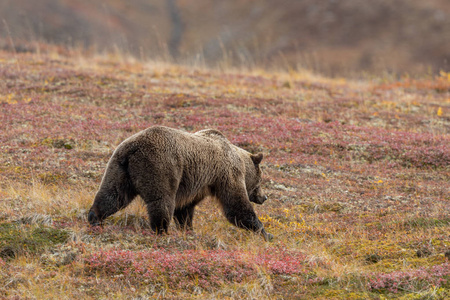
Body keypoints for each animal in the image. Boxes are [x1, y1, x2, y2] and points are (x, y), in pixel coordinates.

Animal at [87, 125, 270, 240]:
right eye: (261, 179)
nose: (264, 197)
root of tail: (133, 148)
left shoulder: (197, 185)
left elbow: (184, 209)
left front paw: (188, 229)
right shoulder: (226, 174)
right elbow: (236, 206)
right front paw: (264, 232)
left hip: (119, 168)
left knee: (113, 195)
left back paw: (95, 219)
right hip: (160, 166)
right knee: (162, 201)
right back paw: (162, 231)